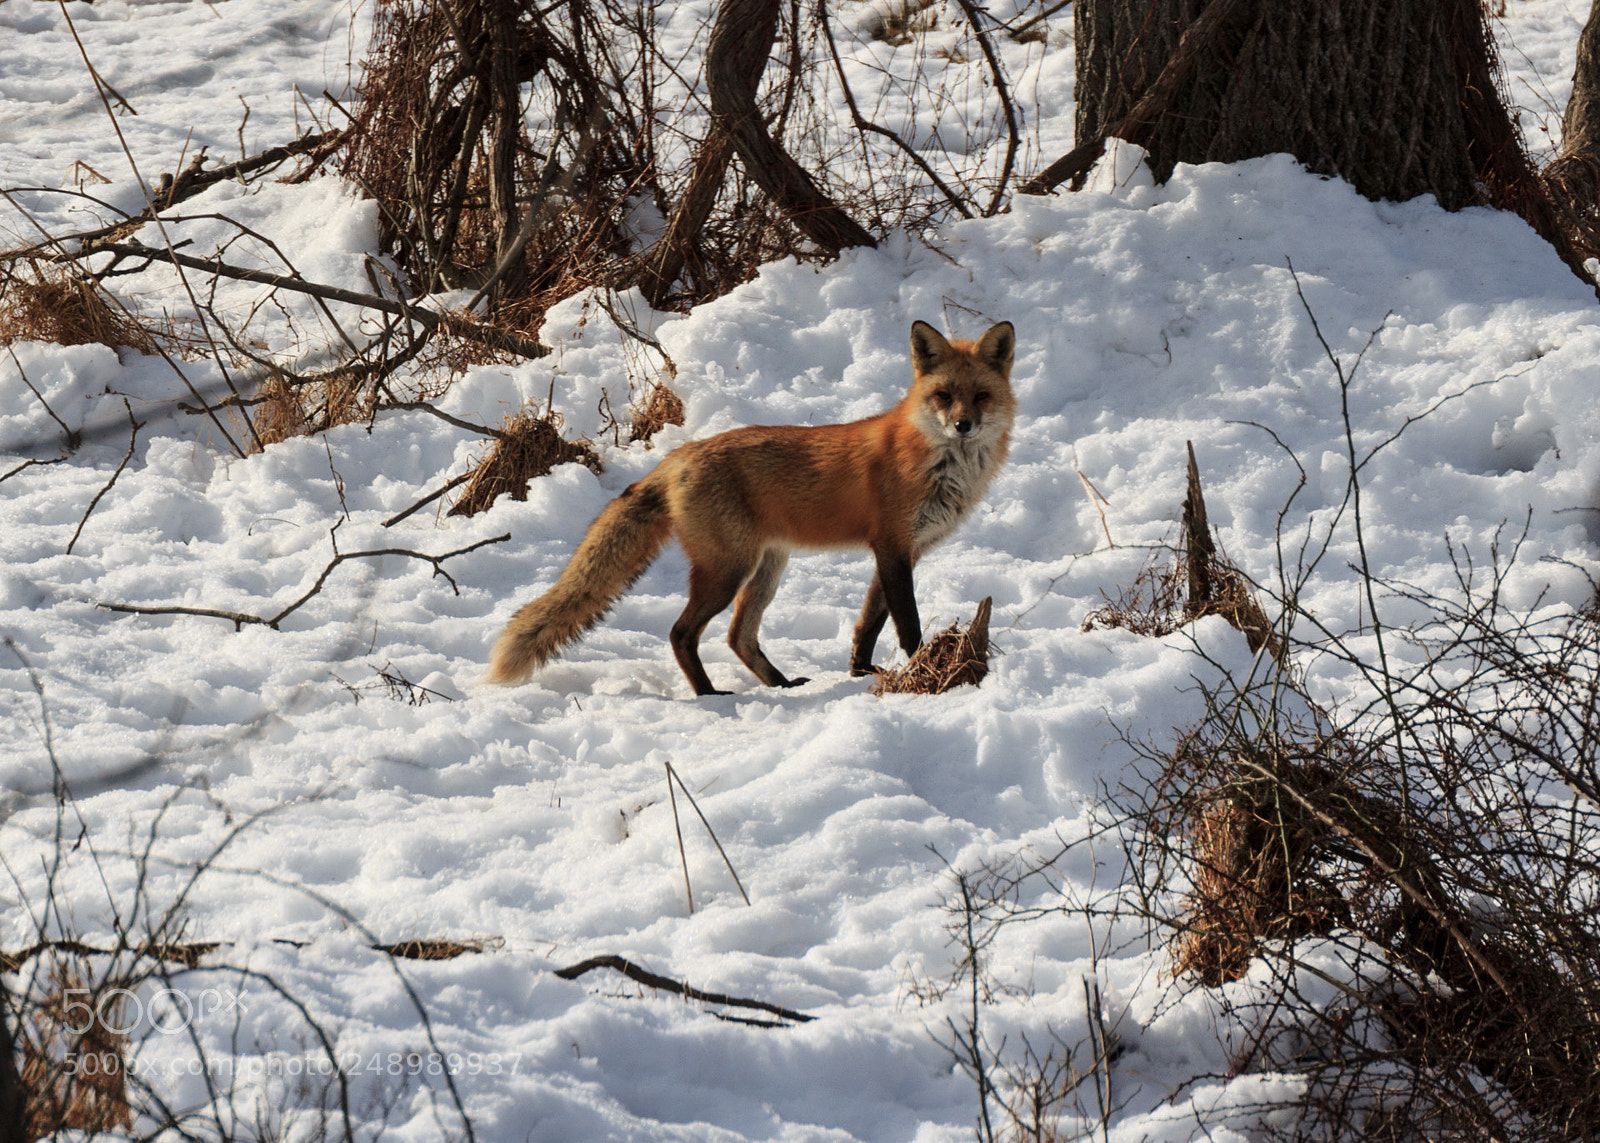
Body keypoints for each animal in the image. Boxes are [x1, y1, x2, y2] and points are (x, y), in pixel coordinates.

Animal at [485, 319, 1016, 696]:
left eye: (981, 397)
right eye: (943, 396)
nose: (964, 425)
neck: (939, 464)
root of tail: (677, 457)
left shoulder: (901, 551)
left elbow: (868, 622)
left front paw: (862, 673)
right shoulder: (891, 546)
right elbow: (906, 623)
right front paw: (928, 668)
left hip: (766, 569)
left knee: (737, 637)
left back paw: (780, 685)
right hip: (730, 569)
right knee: (682, 633)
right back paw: (710, 695)